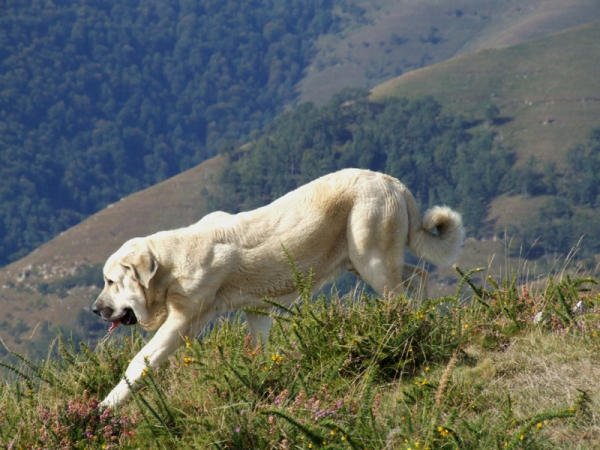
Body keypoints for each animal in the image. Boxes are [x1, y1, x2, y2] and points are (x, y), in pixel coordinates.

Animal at [91, 169, 464, 408]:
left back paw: (408, 327)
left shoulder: (183, 322)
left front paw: (106, 407)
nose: (96, 309)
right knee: (418, 276)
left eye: (110, 281)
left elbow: (140, 361)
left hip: (370, 258)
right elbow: (259, 347)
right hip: (362, 262)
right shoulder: (256, 311)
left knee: (400, 294)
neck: (170, 266)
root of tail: (392, 182)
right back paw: (424, 316)